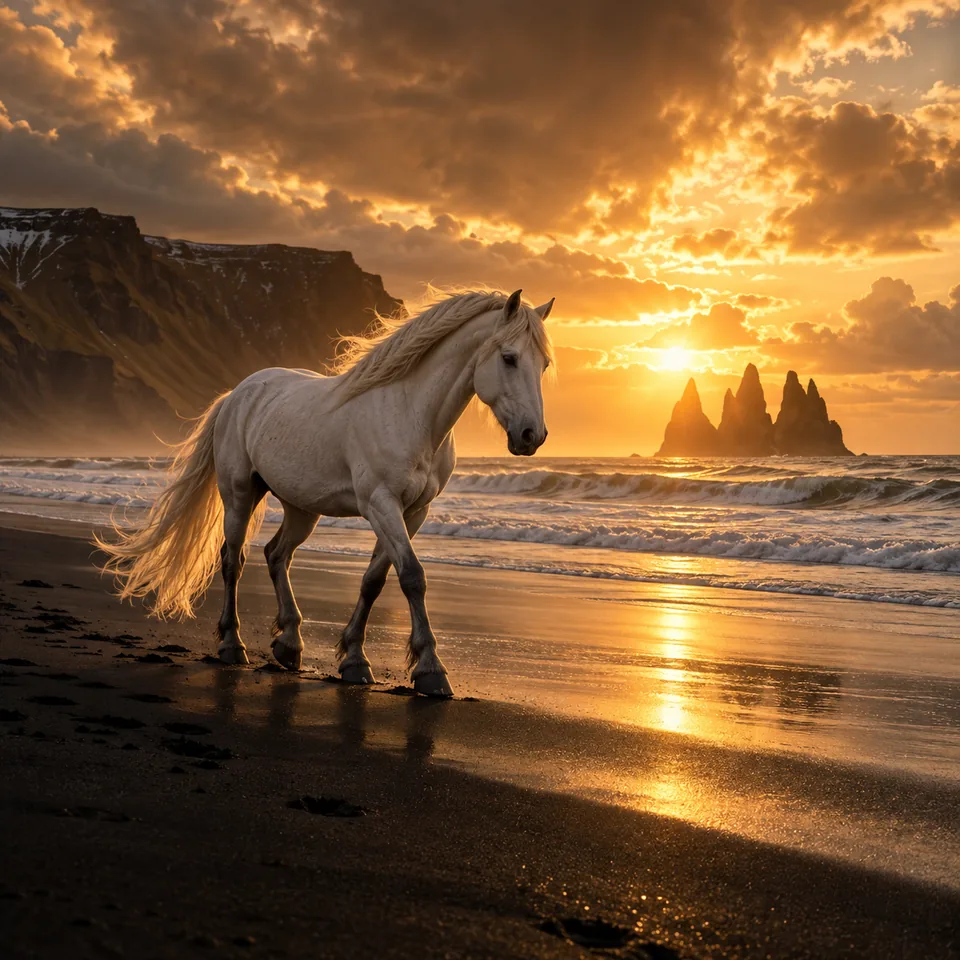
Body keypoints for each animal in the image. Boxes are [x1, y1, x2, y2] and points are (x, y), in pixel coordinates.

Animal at [95, 288, 555, 697]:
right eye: (509, 358)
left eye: (545, 364)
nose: (532, 436)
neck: (411, 414)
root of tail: (237, 394)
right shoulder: (381, 504)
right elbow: (412, 576)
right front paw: (430, 671)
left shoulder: (413, 513)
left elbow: (374, 580)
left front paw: (354, 660)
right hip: (240, 494)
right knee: (233, 560)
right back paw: (232, 645)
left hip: (302, 508)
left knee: (276, 554)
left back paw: (289, 644)